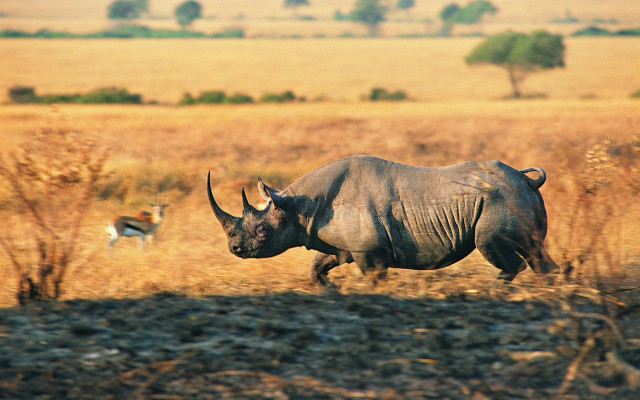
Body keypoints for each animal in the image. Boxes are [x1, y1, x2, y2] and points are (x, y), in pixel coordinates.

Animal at [207, 155, 558, 285]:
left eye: (262, 231)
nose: (234, 249)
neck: (297, 206)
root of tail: (527, 181)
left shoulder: (368, 250)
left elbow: (374, 278)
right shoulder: (344, 246)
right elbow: (317, 265)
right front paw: (330, 288)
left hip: (500, 199)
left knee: (494, 246)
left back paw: (495, 290)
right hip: (515, 197)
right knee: (534, 251)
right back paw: (549, 288)